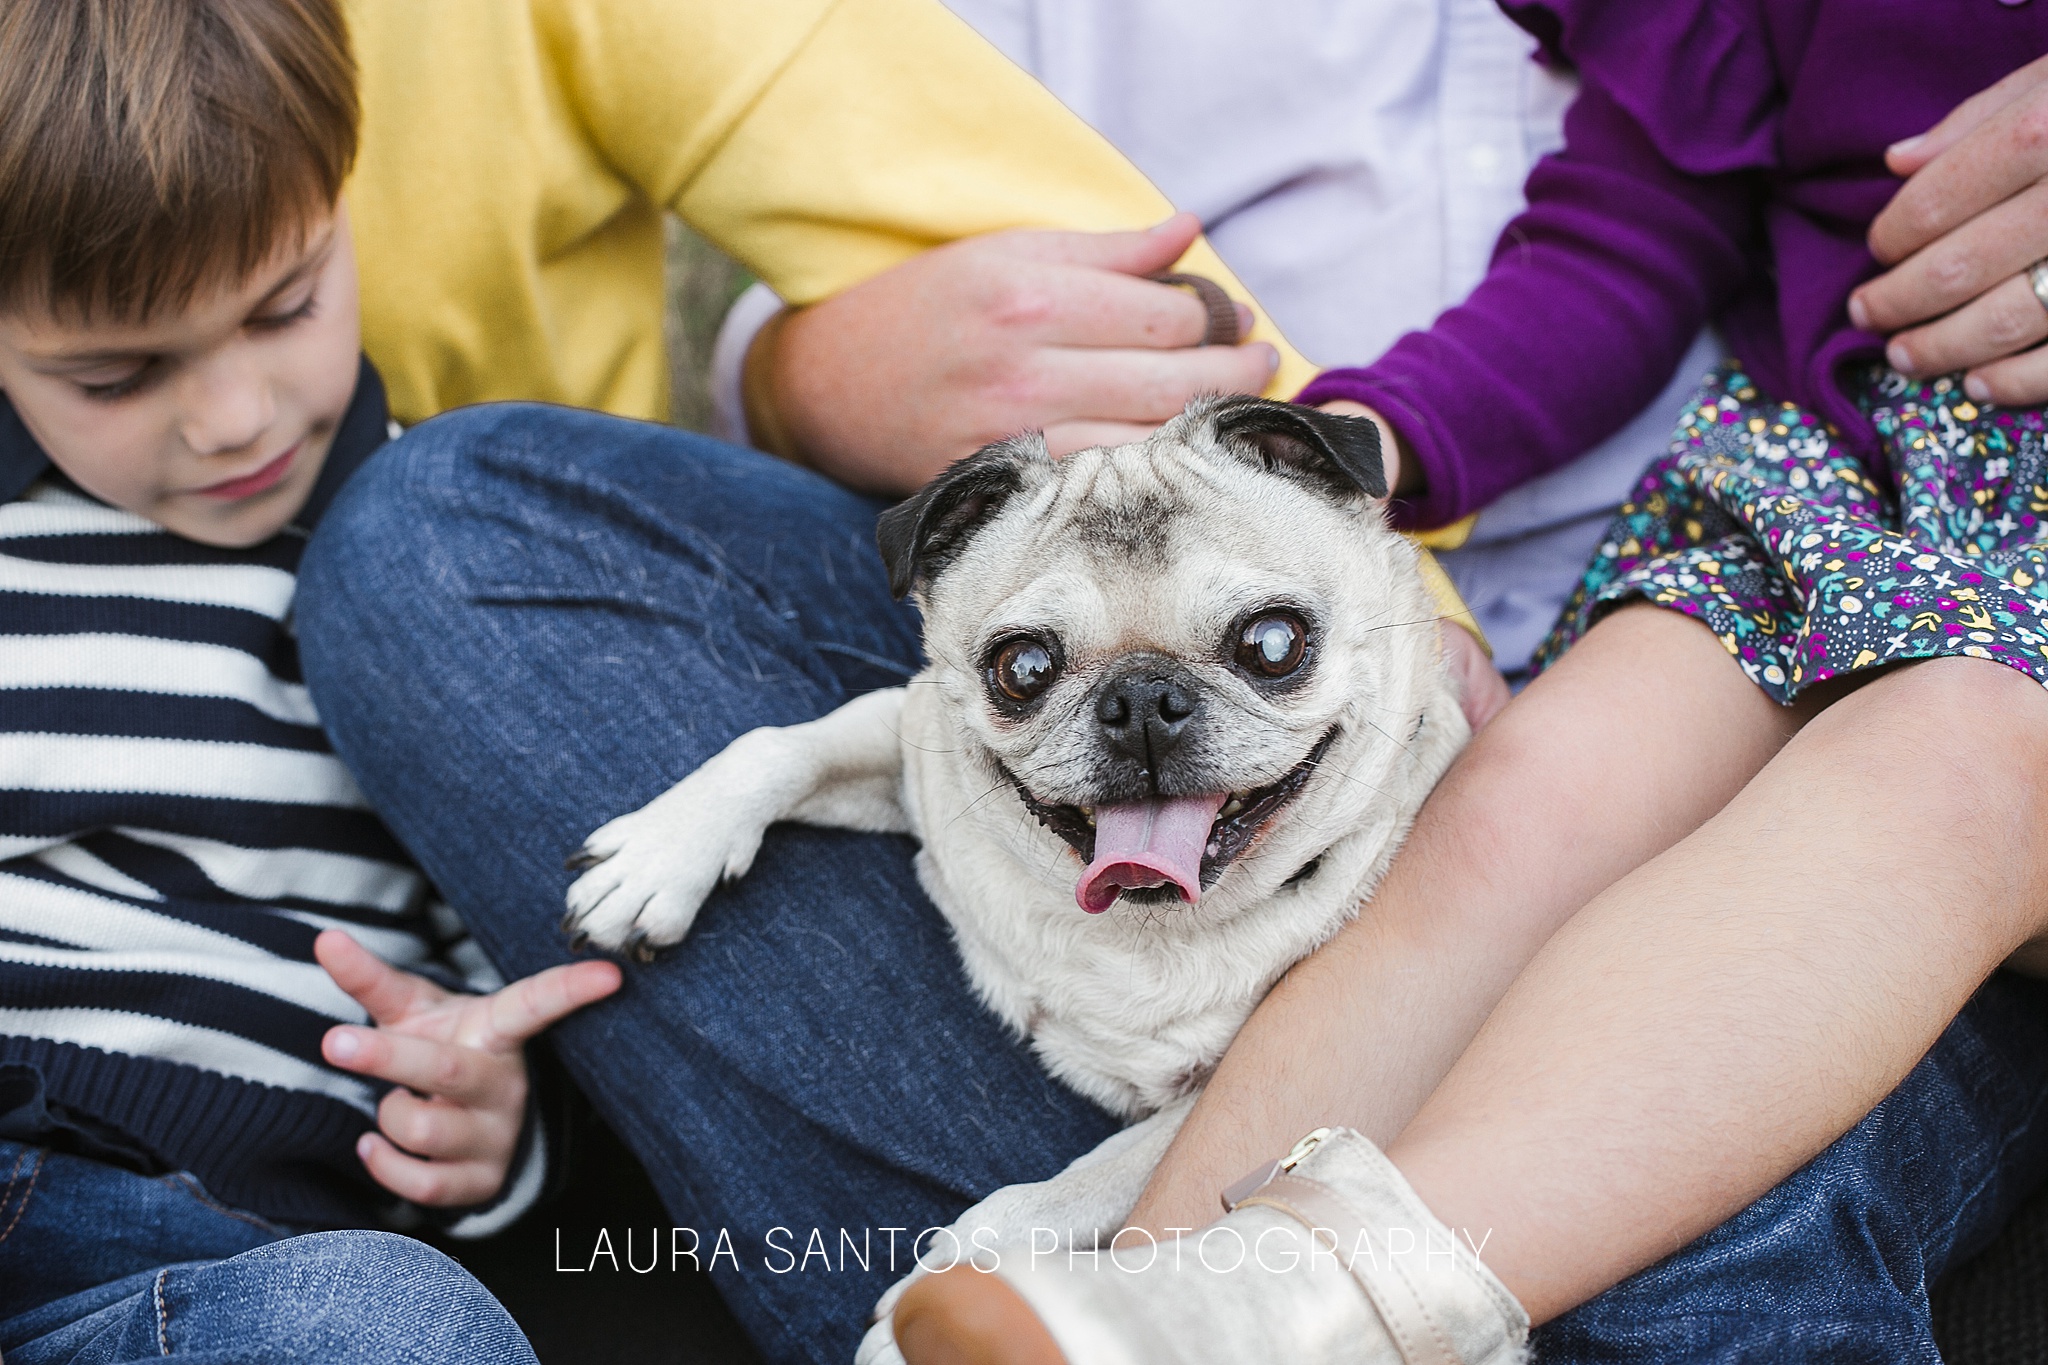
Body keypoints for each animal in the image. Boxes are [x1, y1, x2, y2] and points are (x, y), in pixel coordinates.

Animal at [565, 394, 1474, 1121]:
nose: (1143, 700)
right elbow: (776, 749)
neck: (1151, 929)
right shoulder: (912, 738)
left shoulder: (1185, 1118)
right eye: (1024, 668)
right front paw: (659, 858)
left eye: (1274, 643)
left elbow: (1034, 1206)